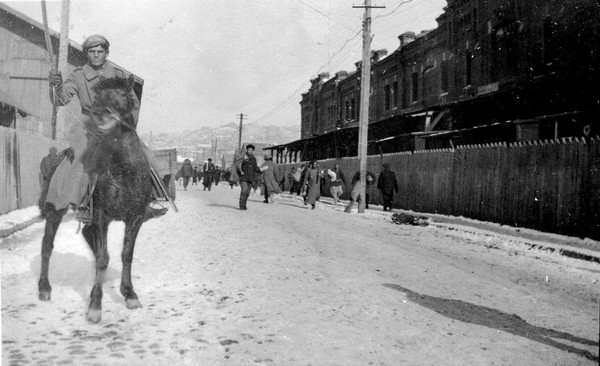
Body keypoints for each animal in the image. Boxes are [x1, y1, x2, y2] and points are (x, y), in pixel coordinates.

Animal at [37, 75, 152, 324]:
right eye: (97, 96)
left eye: (123, 94)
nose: (98, 113)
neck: (123, 170)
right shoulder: (101, 215)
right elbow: (102, 257)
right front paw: (95, 307)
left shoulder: (136, 218)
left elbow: (126, 255)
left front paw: (130, 294)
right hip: (55, 209)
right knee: (47, 245)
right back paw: (44, 288)